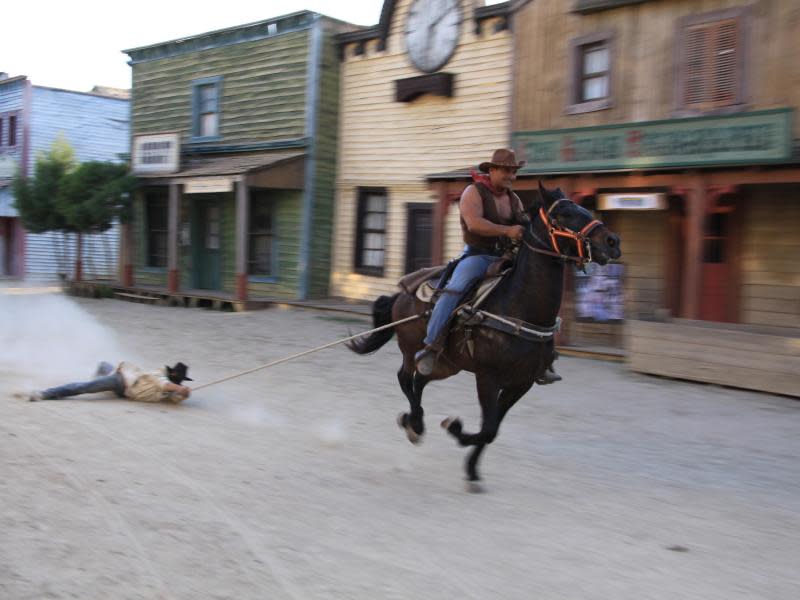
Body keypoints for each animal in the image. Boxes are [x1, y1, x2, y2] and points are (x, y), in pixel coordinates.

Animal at [346, 180, 620, 486]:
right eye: (564, 215)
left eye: (584, 209)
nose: (612, 242)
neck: (519, 308)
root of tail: (403, 291)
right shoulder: (488, 377)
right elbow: (487, 427)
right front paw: (455, 428)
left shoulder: (521, 383)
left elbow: (493, 429)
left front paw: (471, 468)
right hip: (411, 349)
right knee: (405, 378)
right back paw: (415, 424)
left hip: (447, 364)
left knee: (420, 381)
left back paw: (413, 421)